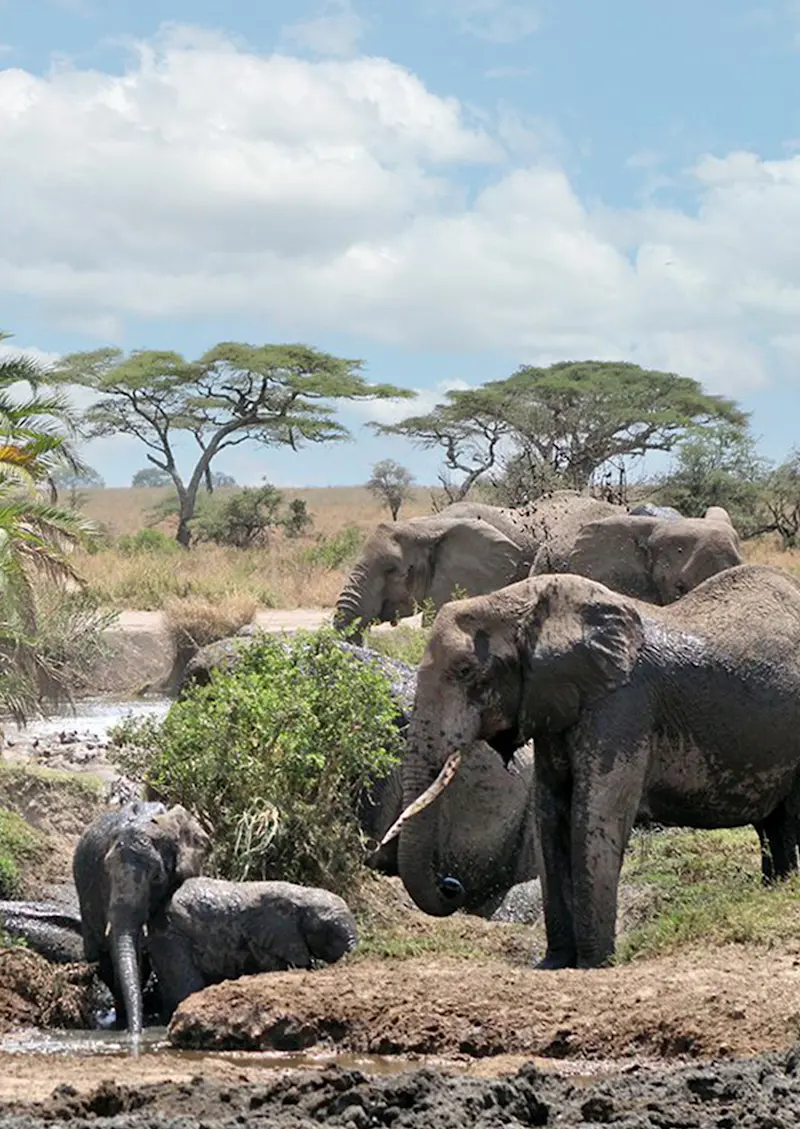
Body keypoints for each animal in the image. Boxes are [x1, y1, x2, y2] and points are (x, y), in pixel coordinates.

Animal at [389, 564, 800, 968]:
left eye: (465, 671)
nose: (451, 885)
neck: (521, 603)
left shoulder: (622, 706)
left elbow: (594, 817)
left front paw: (594, 963)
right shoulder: (553, 705)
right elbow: (549, 816)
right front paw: (553, 964)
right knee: (774, 825)